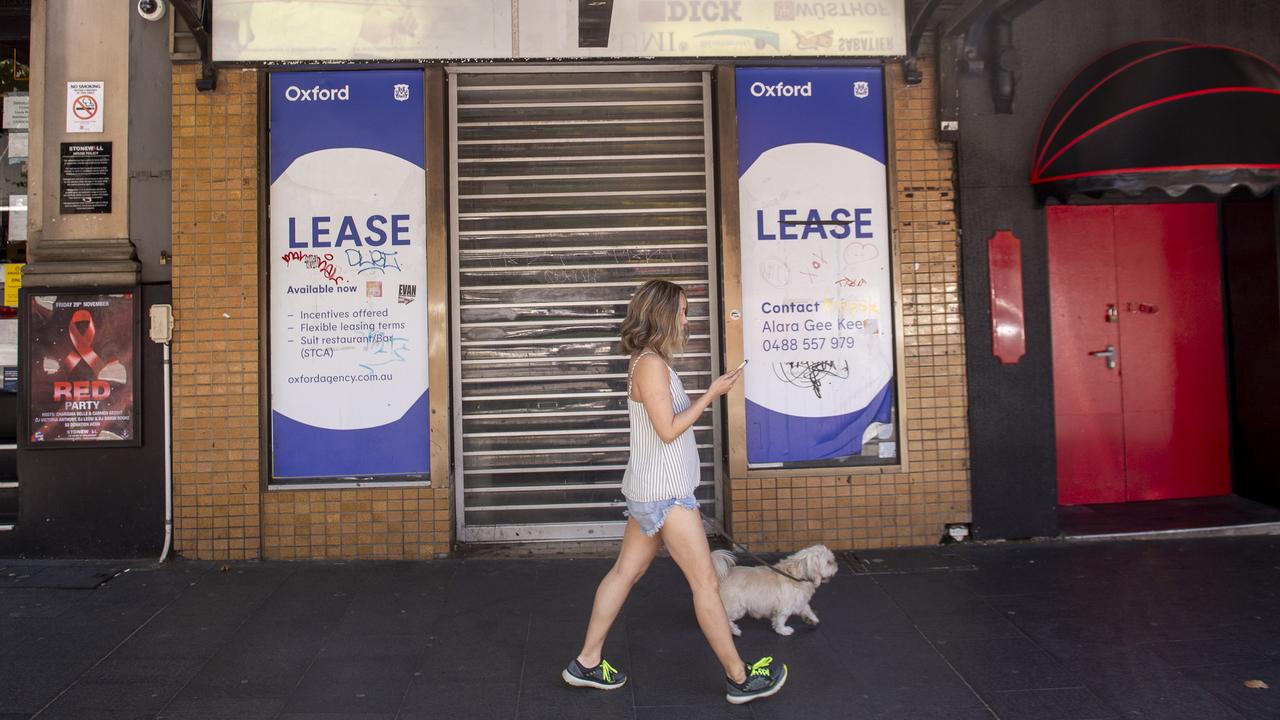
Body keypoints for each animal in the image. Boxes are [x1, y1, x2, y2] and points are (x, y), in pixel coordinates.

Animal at [711, 543, 839, 632]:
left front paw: (812, 618)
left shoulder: (799, 601)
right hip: (737, 607)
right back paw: (734, 630)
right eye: (829, 562)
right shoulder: (785, 607)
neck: (797, 575)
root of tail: (720, 576)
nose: (836, 564)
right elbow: (781, 620)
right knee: (725, 618)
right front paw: (783, 630)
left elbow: (806, 608)